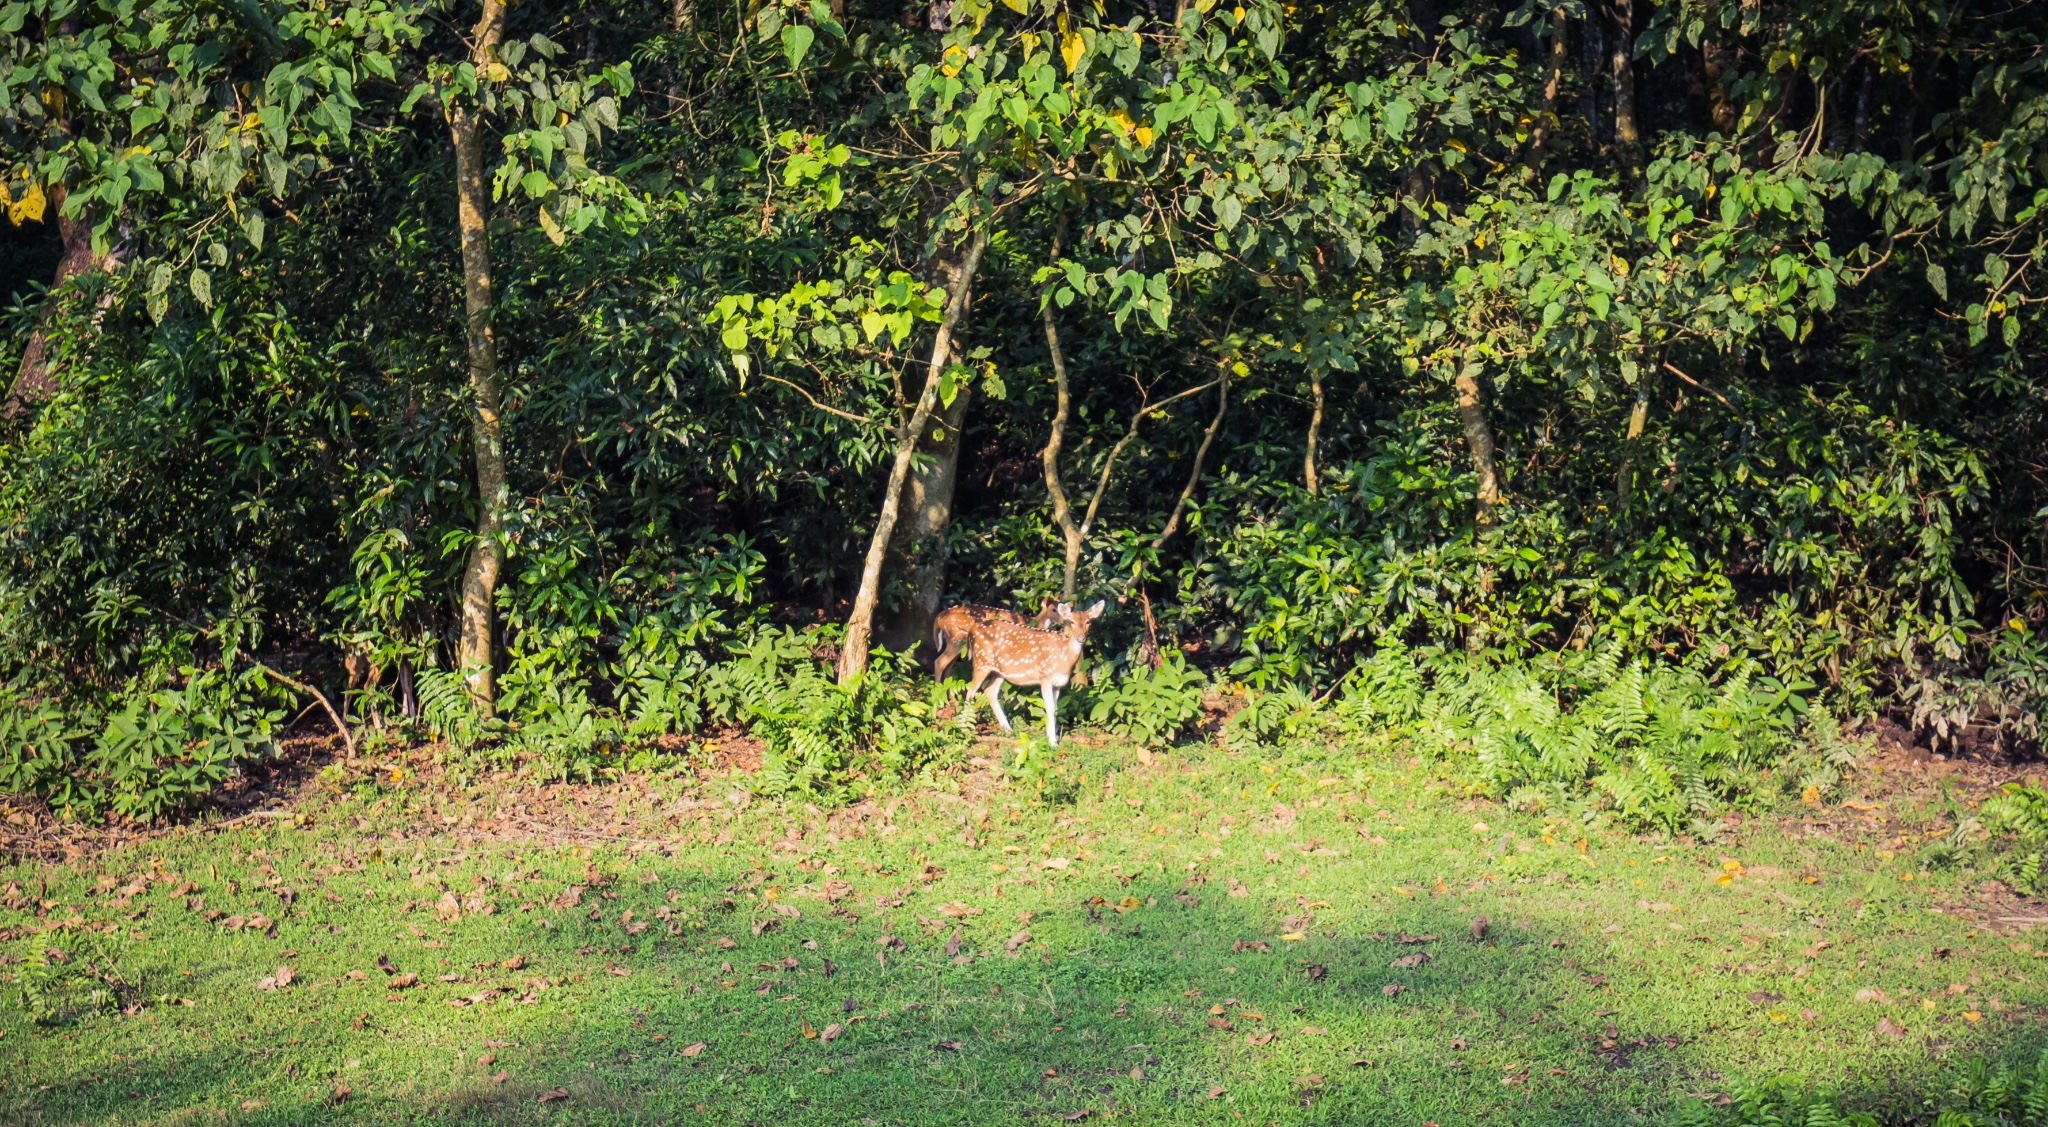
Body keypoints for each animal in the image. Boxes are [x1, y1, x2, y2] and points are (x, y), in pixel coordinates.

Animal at [970, 602, 1105, 749]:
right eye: (1072, 622)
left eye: (1088, 622)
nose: (1081, 638)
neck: (1064, 658)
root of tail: (972, 630)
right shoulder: (1045, 676)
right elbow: (1049, 707)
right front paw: (1052, 742)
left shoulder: (1058, 684)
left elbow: (1054, 708)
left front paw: (1050, 736)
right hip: (981, 662)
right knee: (970, 691)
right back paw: (967, 729)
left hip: (998, 671)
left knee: (989, 691)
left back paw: (1008, 729)